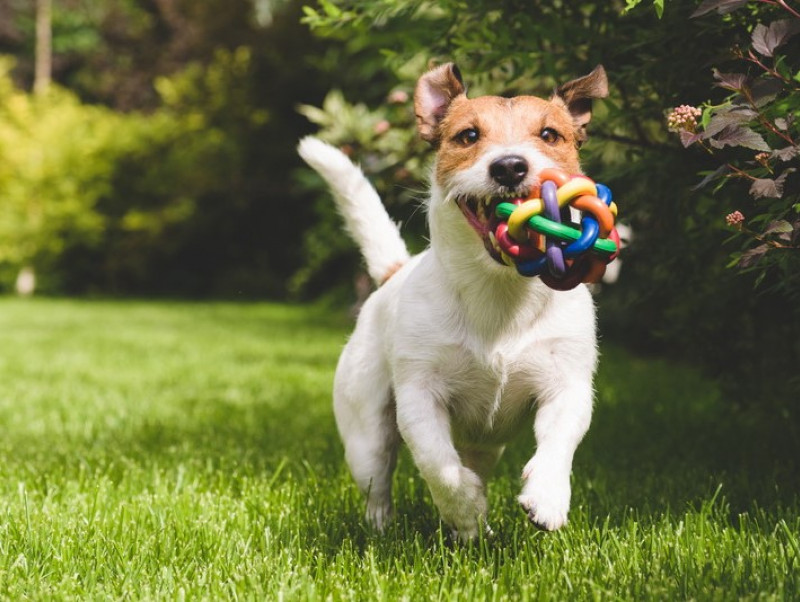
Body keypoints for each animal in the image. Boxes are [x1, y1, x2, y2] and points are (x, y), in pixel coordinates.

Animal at [298, 63, 608, 536]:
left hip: (487, 444)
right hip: (365, 431)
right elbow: (437, 464)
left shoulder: (567, 384)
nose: (510, 166)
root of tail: (395, 272)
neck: (498, 290)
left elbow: (559, 441)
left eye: (549, 134)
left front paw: (548, 497)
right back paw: (392, 526)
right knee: (378, 480)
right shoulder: (418, 395)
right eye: (468, 135)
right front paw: (464, 507)